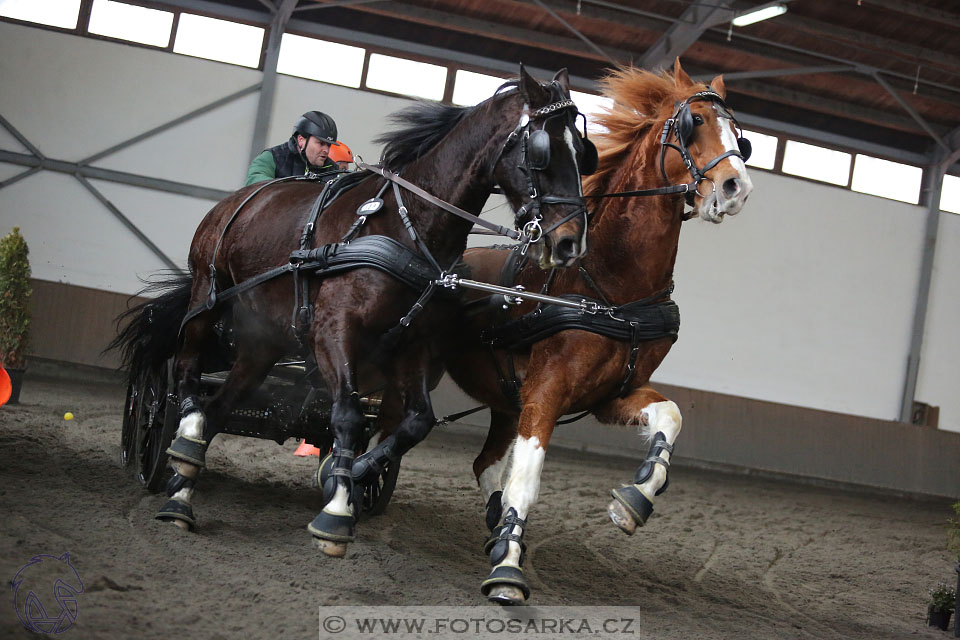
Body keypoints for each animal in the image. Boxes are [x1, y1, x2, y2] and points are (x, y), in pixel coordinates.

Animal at [112, 66, 592, 556]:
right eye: (543, 151)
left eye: (583, 152)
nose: (570, 243)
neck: (406, 225)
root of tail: (239, 199)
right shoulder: (333, 330)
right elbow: (346, 414)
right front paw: (337, 511)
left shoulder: (411, 345)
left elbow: (416, 422)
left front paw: (354, 473)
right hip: (208, 296)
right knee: (188, 374)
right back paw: (184, 441)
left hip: (262, 343)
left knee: (221, 405)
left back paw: (182, 493)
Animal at [424, 58, 752, 600]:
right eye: (695, 122)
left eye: (741, 138)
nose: (736, 187)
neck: (611, 285)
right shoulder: (547, 390)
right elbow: (527, 479)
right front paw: (507, 570)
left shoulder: (610, 394)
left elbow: (670, 416)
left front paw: (634, 500)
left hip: (504, 402)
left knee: (484, 461)